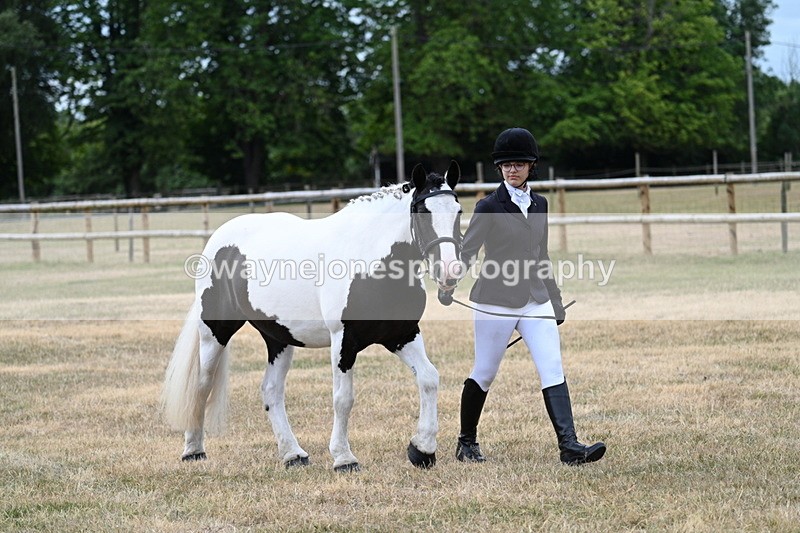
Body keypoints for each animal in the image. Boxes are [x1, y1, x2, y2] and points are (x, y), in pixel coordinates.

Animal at [161, 161, 463, 471]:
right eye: (423, 212)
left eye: (458, 211)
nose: (450, 271)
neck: (371, 261)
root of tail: (219, 240)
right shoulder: (344, 341)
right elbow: (343, 399)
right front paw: (343, 458)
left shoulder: (402, 335)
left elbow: (429, 378)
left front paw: (422, 450)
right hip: (215, 332)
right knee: (201, 385)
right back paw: (193, 449)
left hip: (278, 338)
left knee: (271, 391)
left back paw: (293, 454)